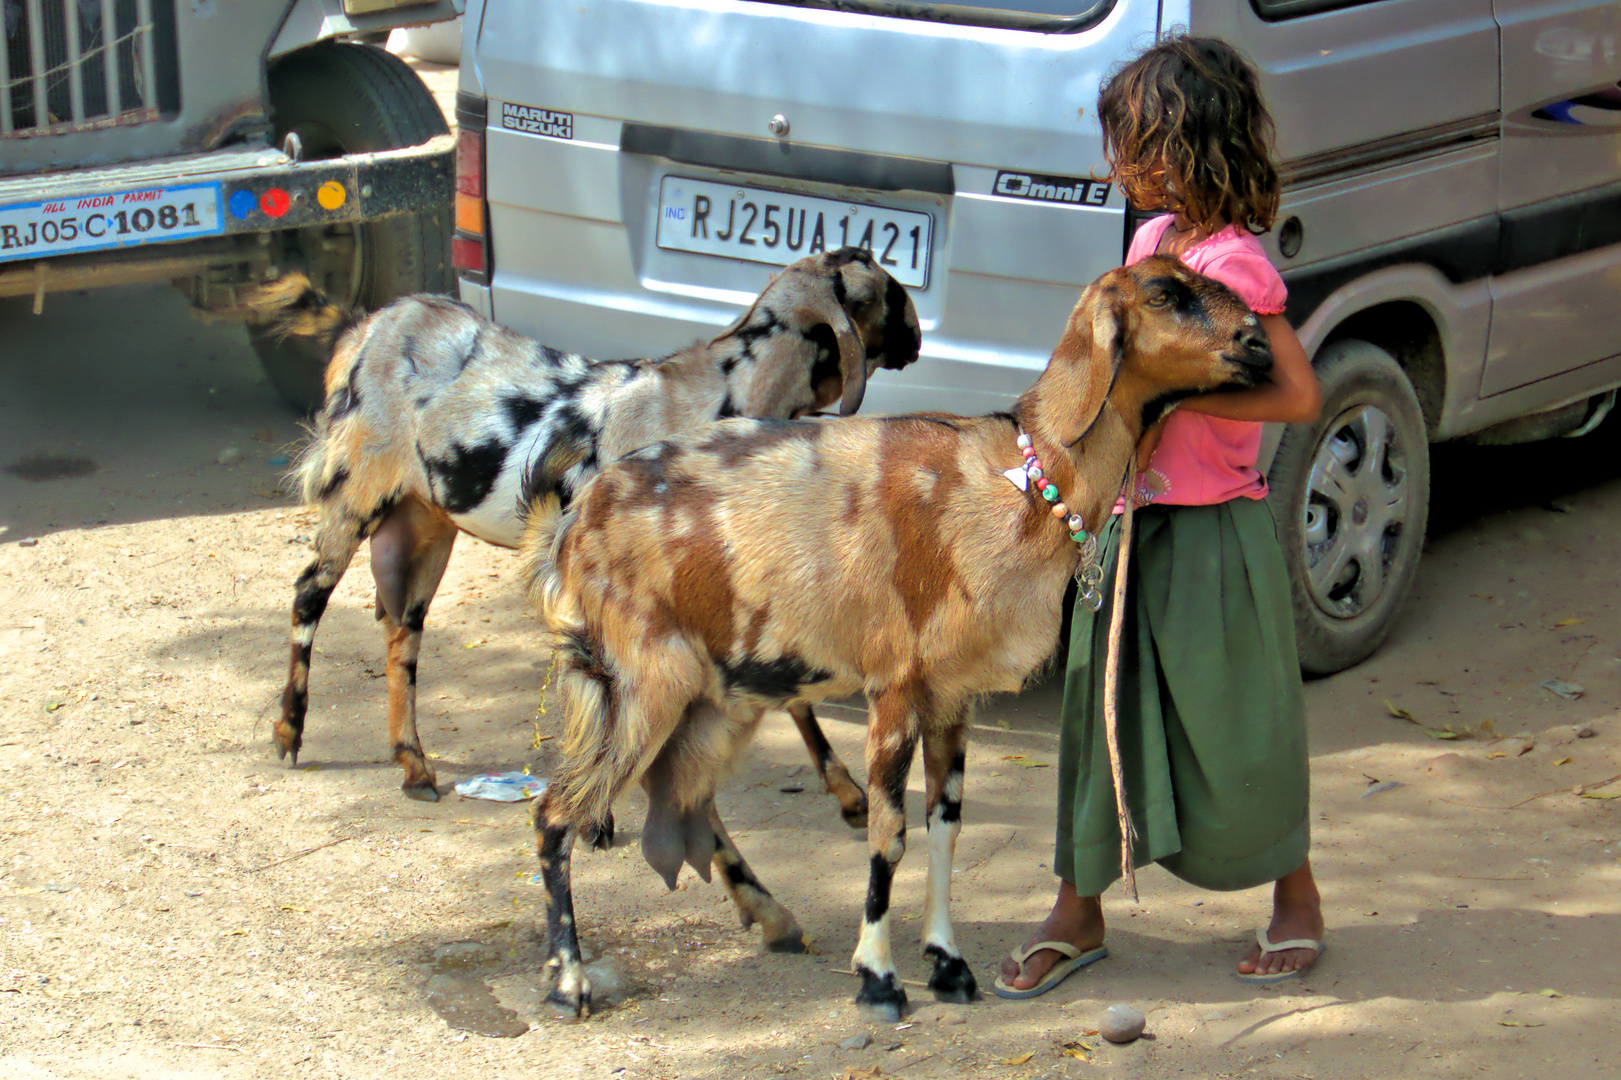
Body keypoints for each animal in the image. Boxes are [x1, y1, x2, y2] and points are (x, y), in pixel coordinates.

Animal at [246, 246, 920, 797]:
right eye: (889, 295)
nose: (916, 341)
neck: (712, 396)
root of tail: (365, 325)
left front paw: (848, 794)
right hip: (354, 493)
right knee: (309, 592)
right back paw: (289, 732)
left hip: (423, 522)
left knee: (399, 628)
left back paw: (413, 765)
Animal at [525, 256, 1270, 1011]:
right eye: (1164, 293)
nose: (1259, 344)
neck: (1015, 478)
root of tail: (574, 524)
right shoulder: (894, 687)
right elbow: (890, 836)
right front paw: (879, 978)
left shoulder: (951, 697)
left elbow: (945, 829)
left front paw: (946, 963)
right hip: (643, 685)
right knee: (556, 811)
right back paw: (568, 978)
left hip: (717, 696)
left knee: (690, 798)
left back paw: (773, 917)